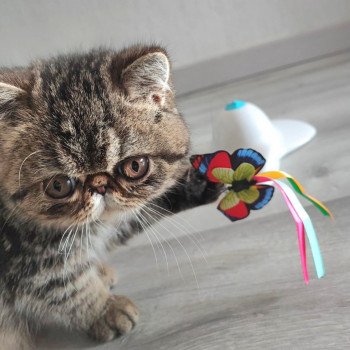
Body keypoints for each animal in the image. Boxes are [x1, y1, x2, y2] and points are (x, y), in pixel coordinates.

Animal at [0, 46, 221, 350]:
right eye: (59, 185)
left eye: (135, 166)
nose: (100, 186)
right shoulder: (22, 261)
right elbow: (64, 286)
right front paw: (105, 311)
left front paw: (205, 180)